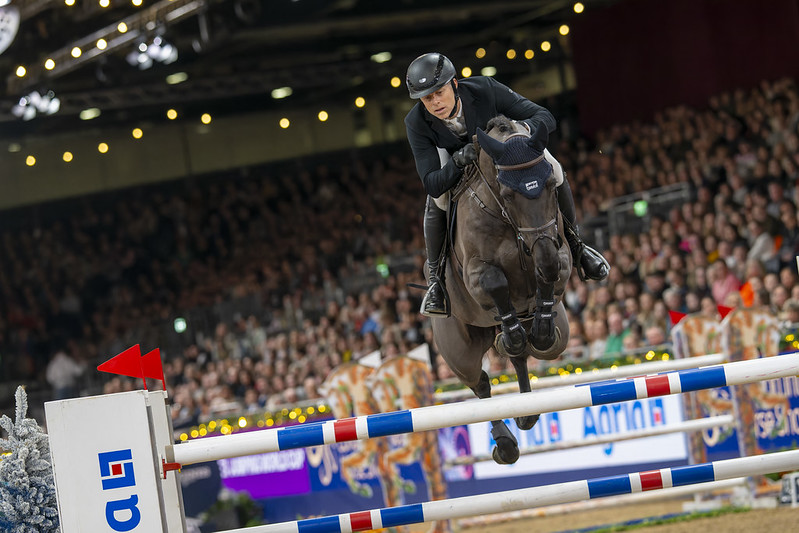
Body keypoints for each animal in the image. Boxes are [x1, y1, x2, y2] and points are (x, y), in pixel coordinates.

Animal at [431, 115, 571, 464]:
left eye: (551, 186)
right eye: (507, 194)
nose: (541, 252)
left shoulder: (558, 252)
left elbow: (552, 274)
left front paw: (540, 327)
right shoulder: (477, 273)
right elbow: (496, 283)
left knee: (525, 354)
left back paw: (526, 411)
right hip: (458, 349)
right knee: (480, 384)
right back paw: (505, 444)